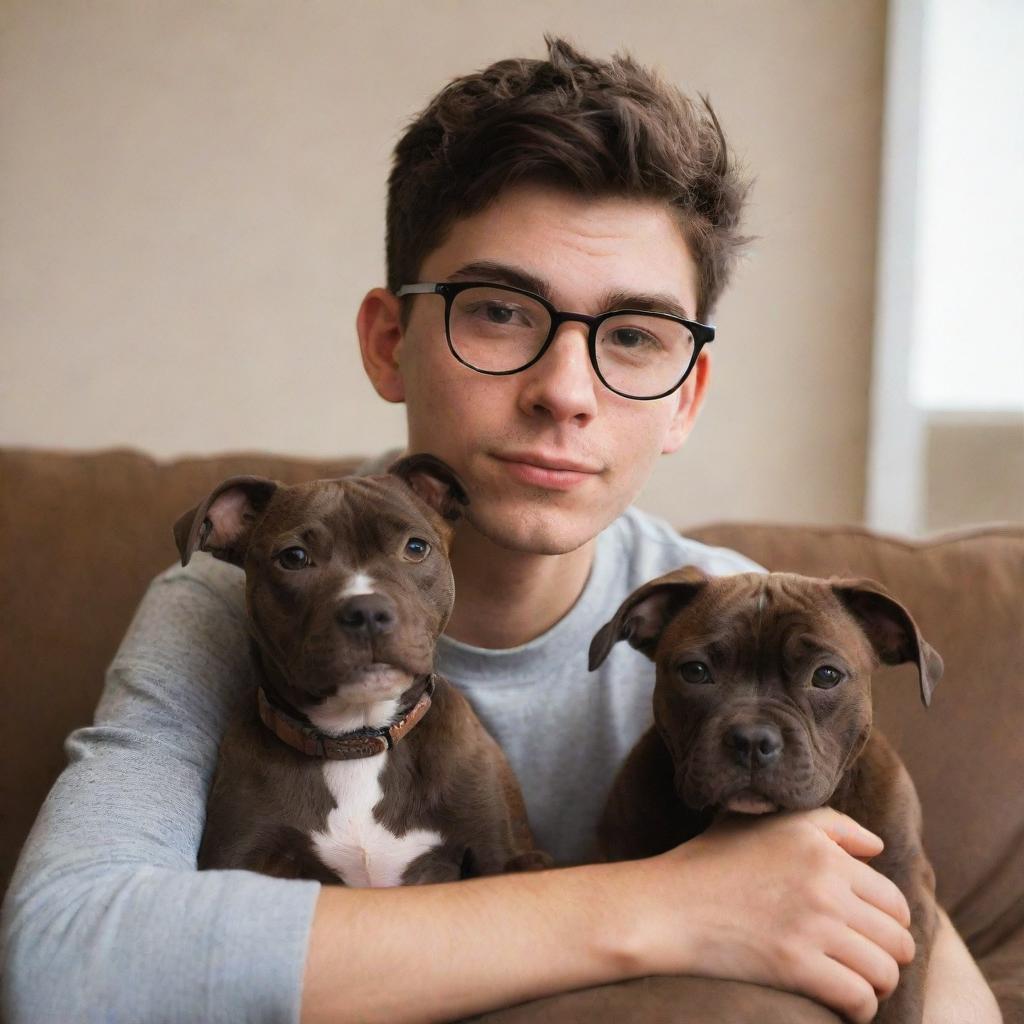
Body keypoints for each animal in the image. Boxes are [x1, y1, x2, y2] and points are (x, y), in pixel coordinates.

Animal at [174, 456, 552, 888]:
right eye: (293, 557)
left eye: (416, 548)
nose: (368, 611)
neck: (355, 738)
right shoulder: (236, 855)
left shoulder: (498, 852)